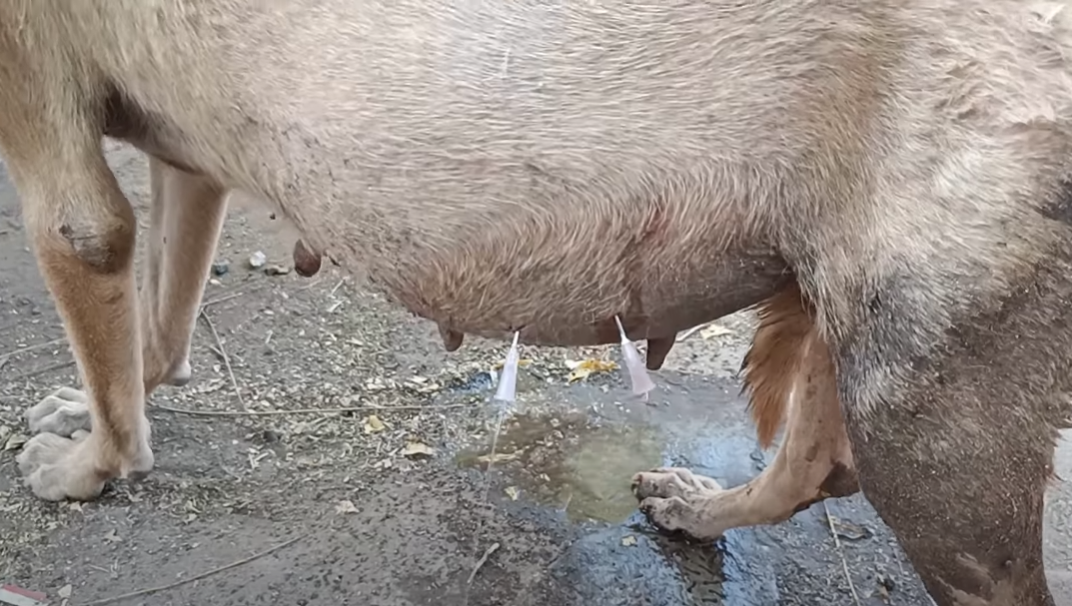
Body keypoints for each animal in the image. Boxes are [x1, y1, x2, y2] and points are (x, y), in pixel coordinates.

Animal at [2, 2, 1072, 600]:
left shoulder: (61, 155)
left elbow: (90, 243)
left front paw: (92, 467)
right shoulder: (186, 160)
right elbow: (160, 324)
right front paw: (99, 400)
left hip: (929, 417)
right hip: (854, 307)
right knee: (814, 465)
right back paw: (697, 509)